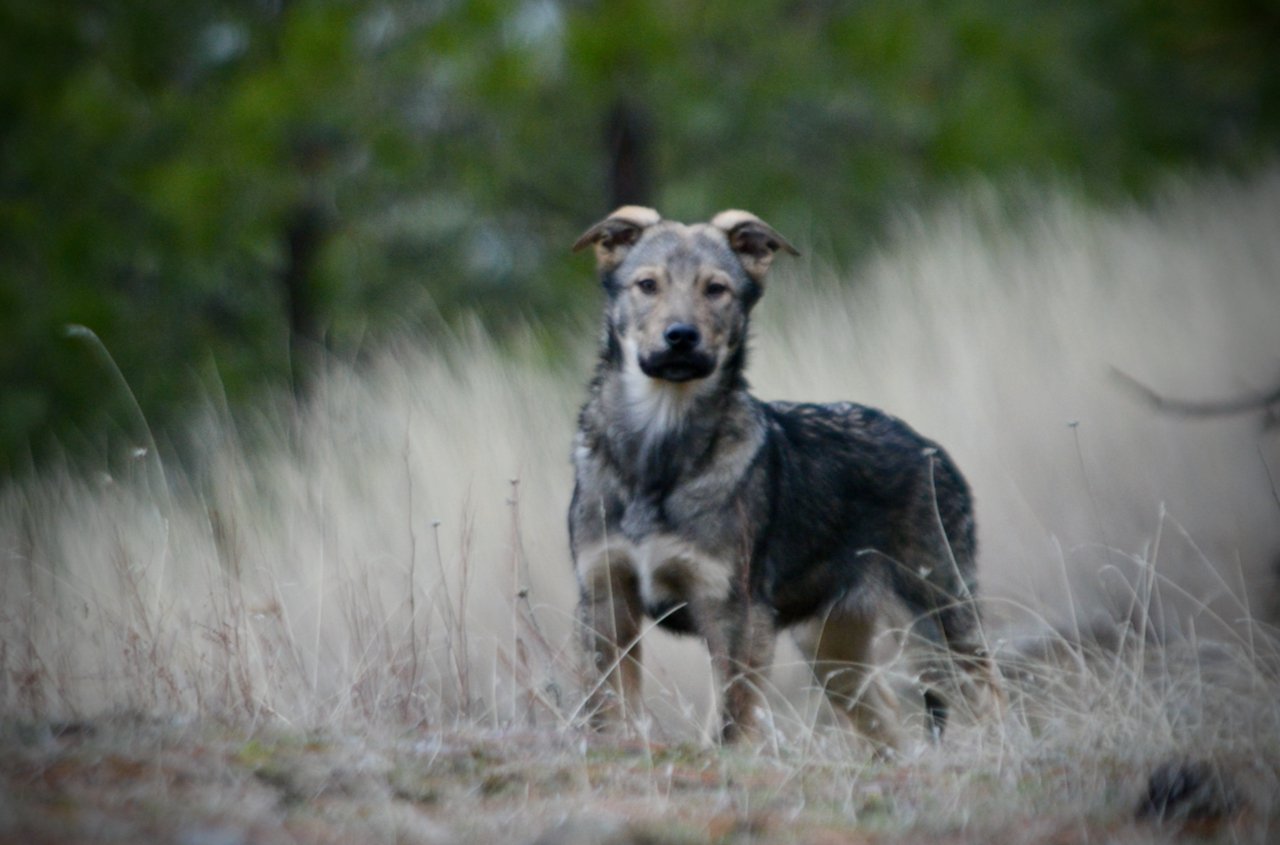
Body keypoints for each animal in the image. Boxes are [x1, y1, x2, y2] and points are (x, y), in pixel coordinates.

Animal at [568, 207, 998, 747]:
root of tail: (931, 449)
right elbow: (606, 712)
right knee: (886, 723)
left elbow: (730, 725)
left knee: (991, 698)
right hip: (834, 652)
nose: (681, 336)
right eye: (647, 285)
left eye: (716, 289)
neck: (658, 454)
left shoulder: (732, 614)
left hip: (936, 621)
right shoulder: (605, 601)